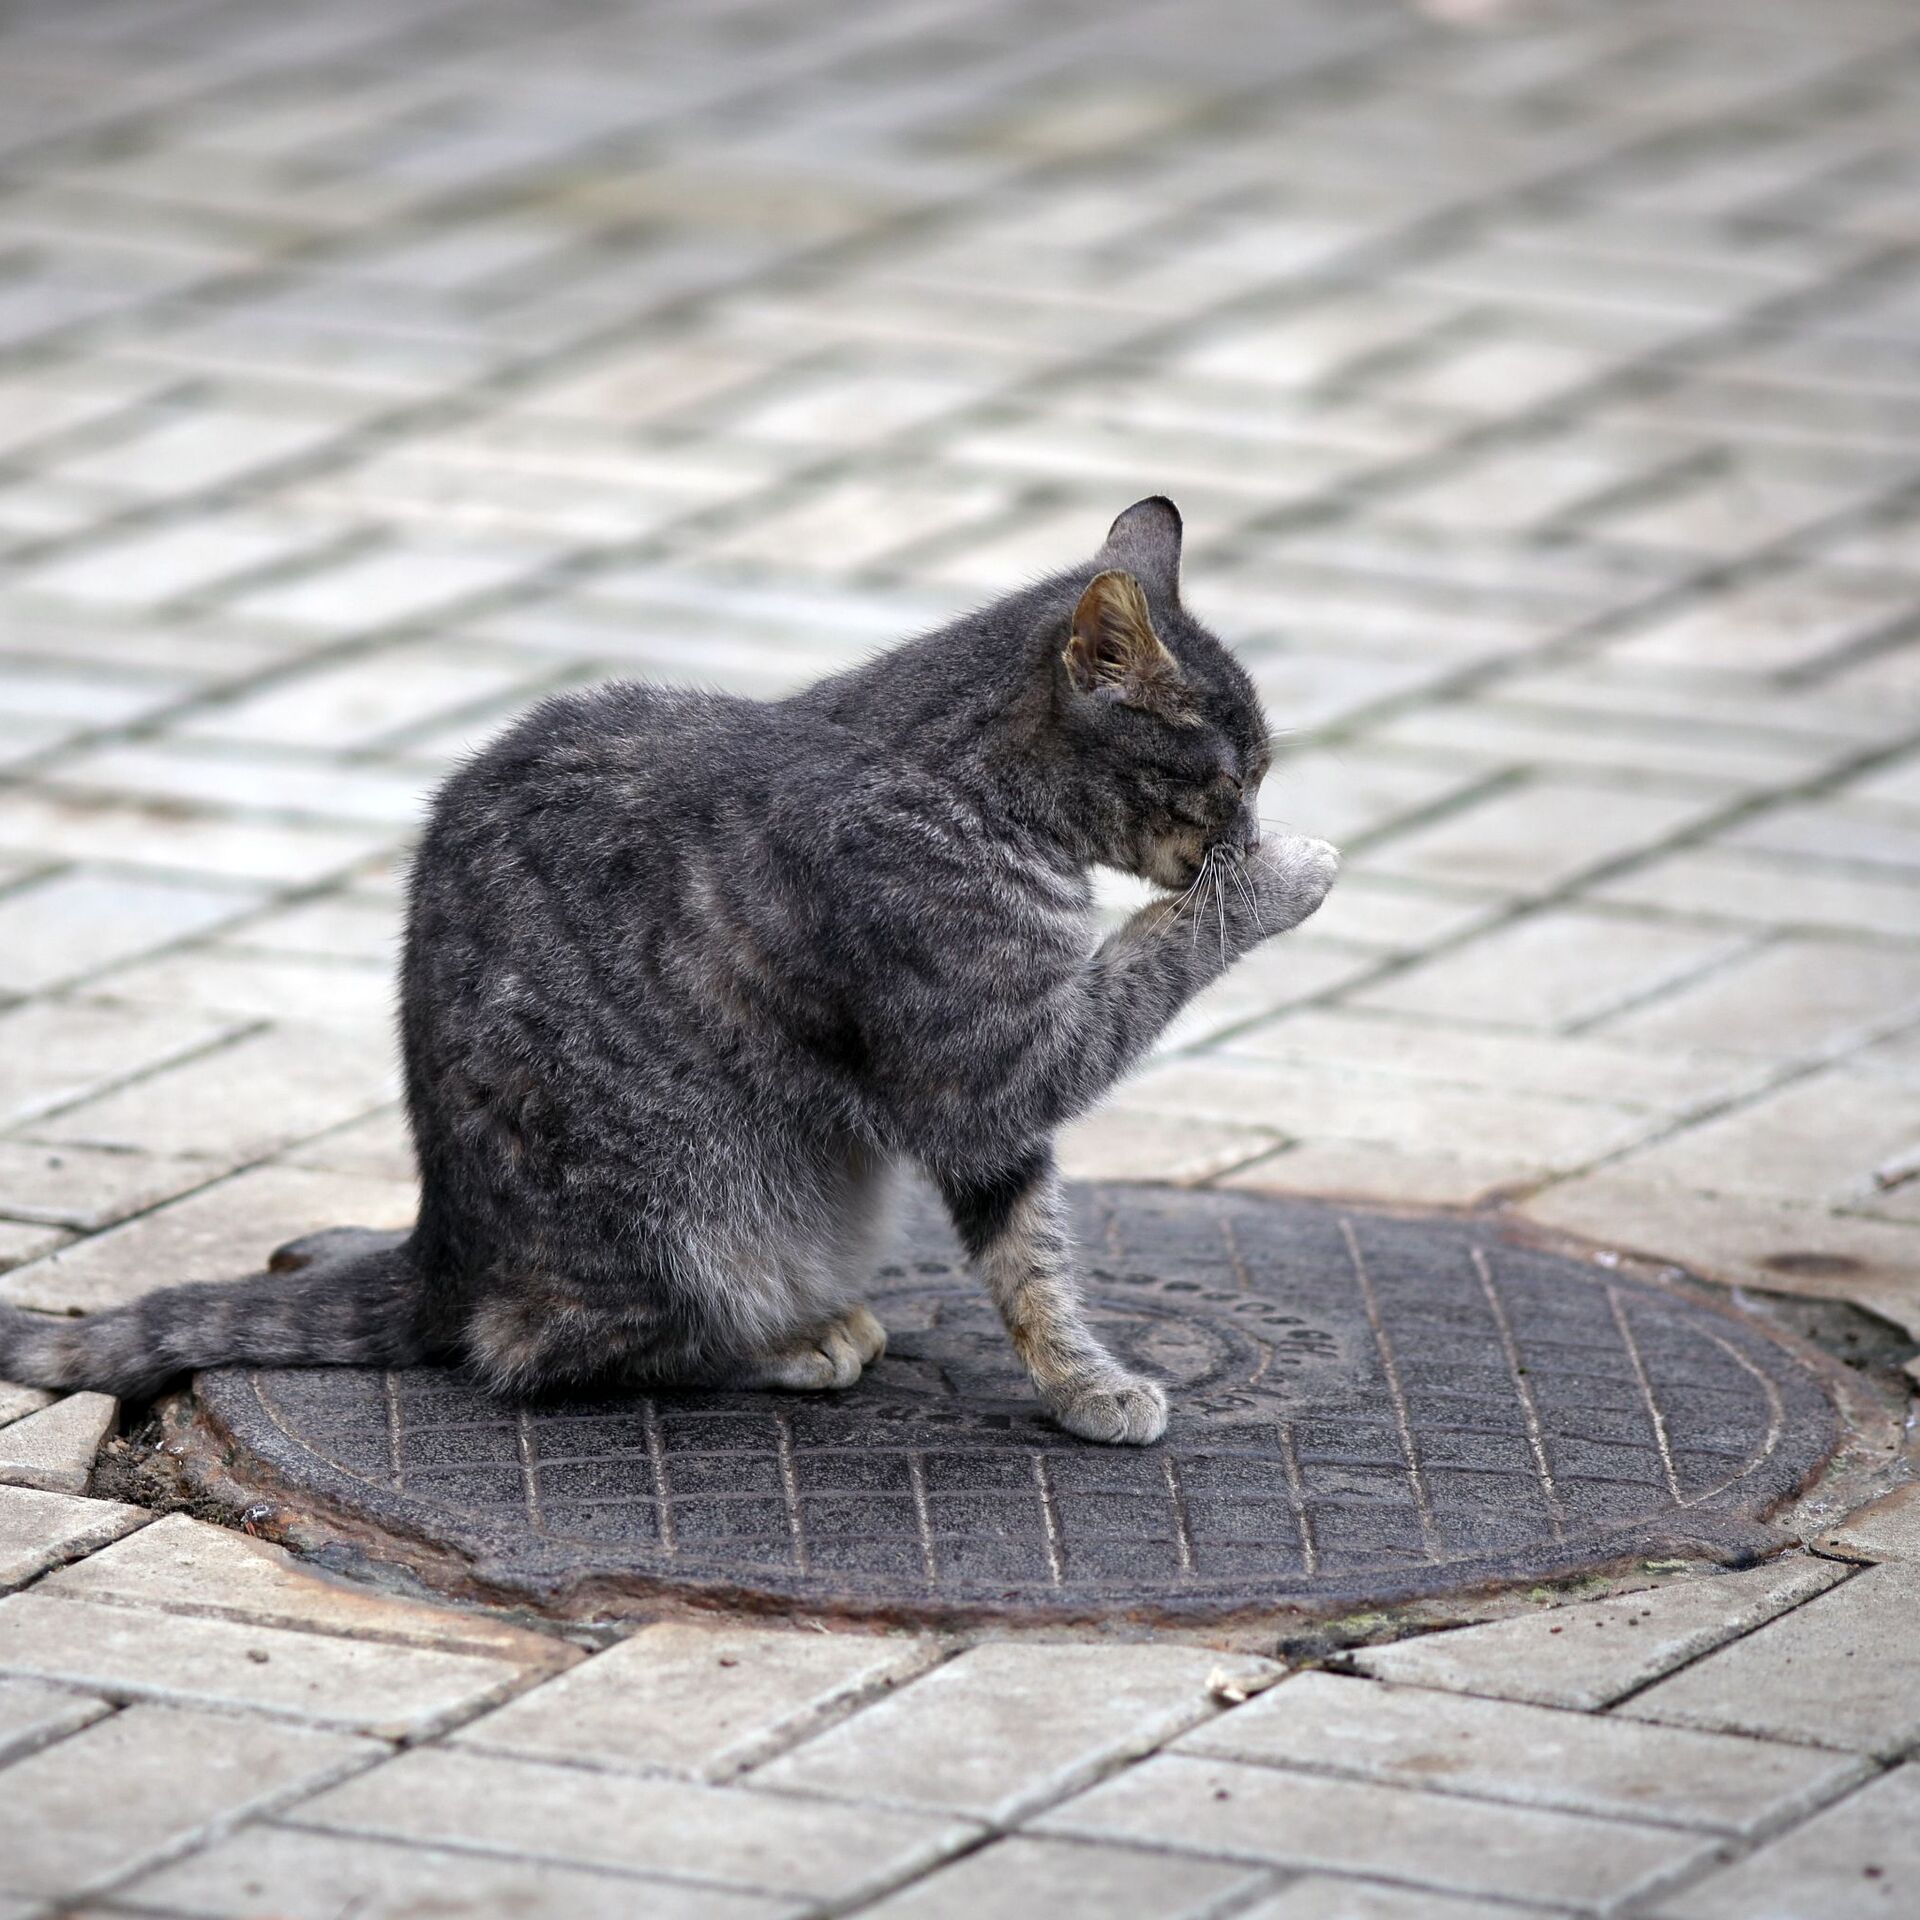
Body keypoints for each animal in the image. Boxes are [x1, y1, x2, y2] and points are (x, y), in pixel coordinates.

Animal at [3, 495, 1336, 1443]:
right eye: (1232, 779)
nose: (1249, 825)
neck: (949, 773)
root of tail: (443, 1242)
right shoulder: (993, 1064)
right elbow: (1158, 950)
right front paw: (1284, 875)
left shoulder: (989, 1110)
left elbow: (1033, 1260)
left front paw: (1079, 1382)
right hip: (689, 1217)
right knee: (536, 1351)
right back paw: (791, 1344)